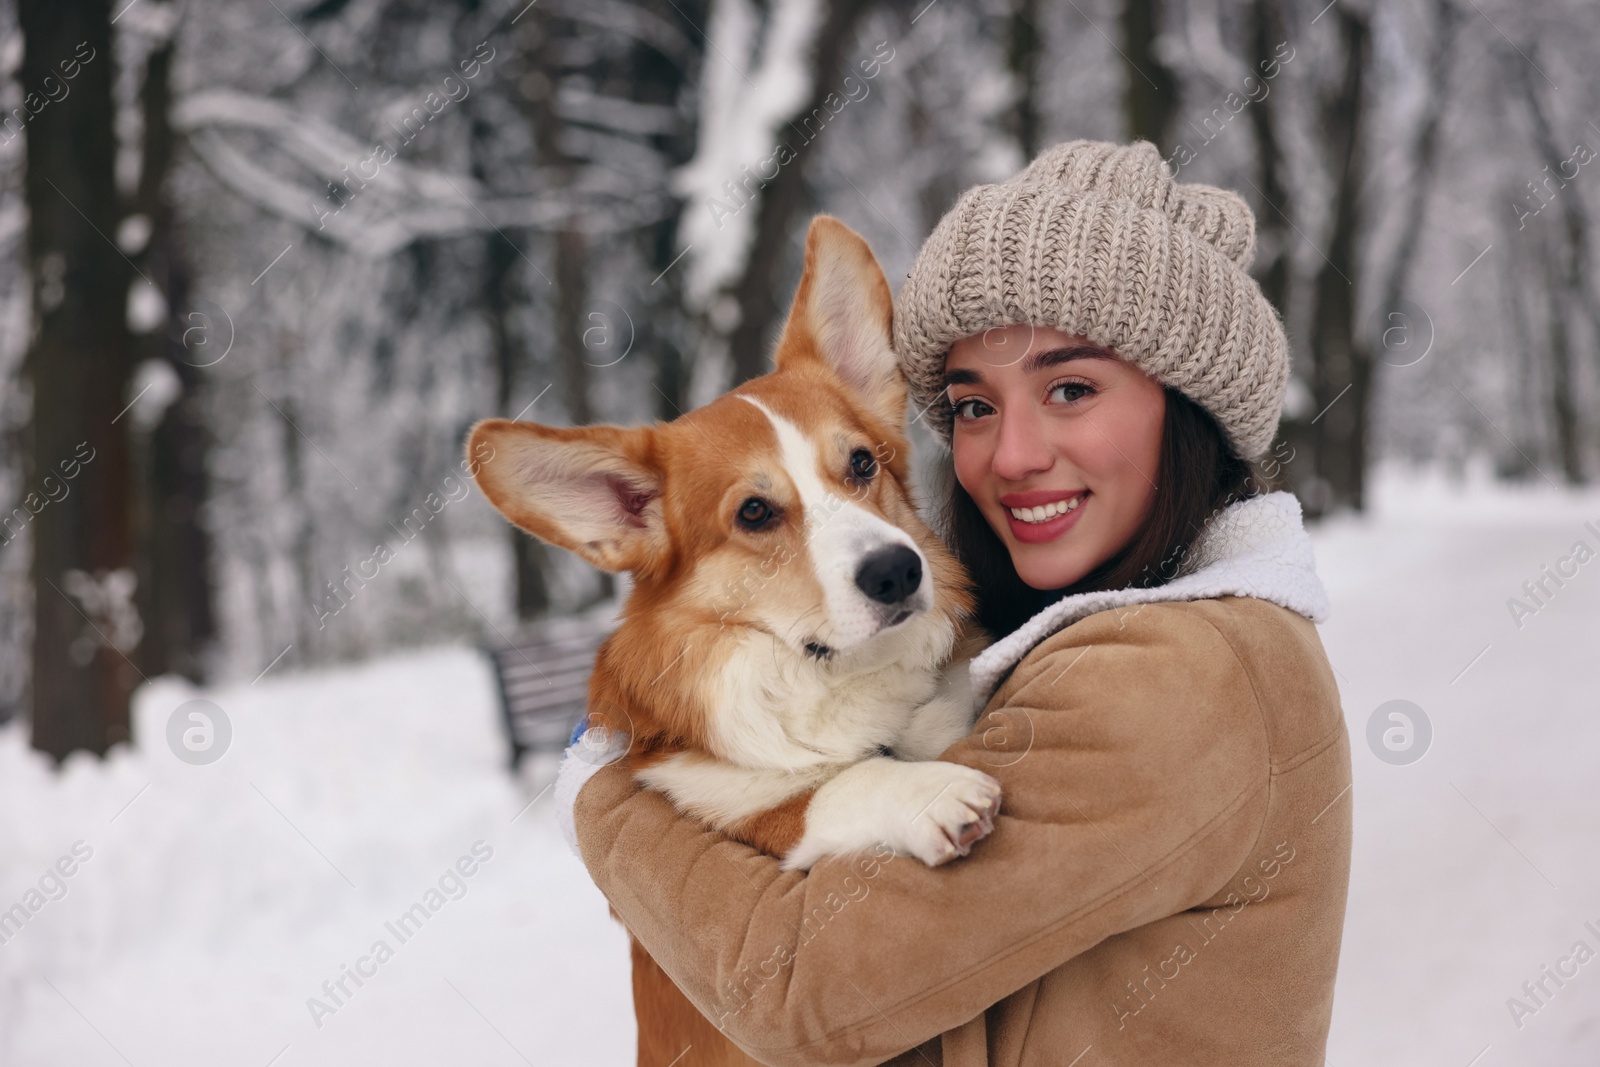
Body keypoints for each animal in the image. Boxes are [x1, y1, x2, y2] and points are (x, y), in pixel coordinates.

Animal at [467, 217, 1004, 1067]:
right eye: (755, 512)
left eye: (861, 463)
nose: (897, 571)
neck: (834, 677)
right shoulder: (729, 806)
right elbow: (840, 783)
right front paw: (932, 791)